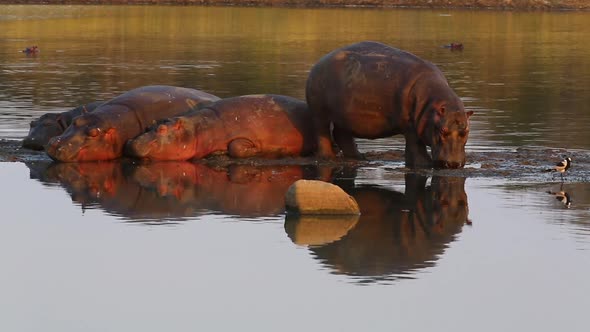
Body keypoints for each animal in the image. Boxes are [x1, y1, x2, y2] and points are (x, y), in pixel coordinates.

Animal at [308, 40, 474, 169]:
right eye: (442, 131)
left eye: (466, 131)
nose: (453, 164)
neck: (433, 105)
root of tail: (319, 62)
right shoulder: (411, 128)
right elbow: (416, 149)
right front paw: (424, 165)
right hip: (319, 112)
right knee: (322, 132)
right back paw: (329, 158)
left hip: (345, 116)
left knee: (341, 134)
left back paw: (360, 158)